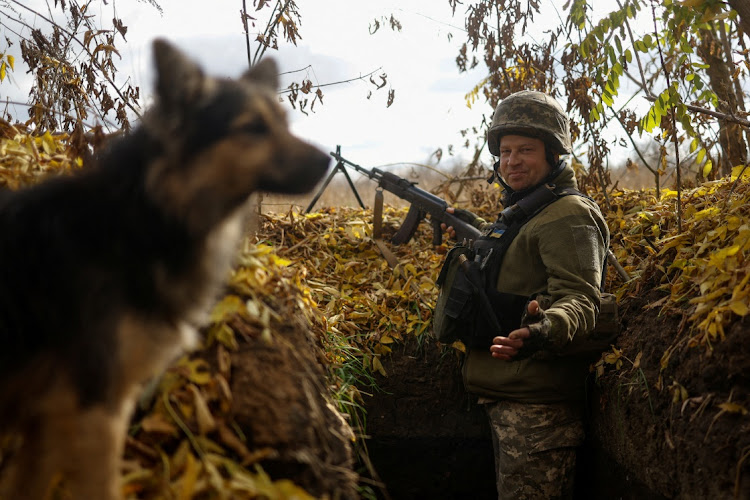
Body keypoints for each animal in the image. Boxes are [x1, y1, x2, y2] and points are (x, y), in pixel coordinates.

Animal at [0, 40, 332, 500]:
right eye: (252, 127)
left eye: (285, 123)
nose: (328, 161)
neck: (144, 217)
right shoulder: (95, 409)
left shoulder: (47, 422)